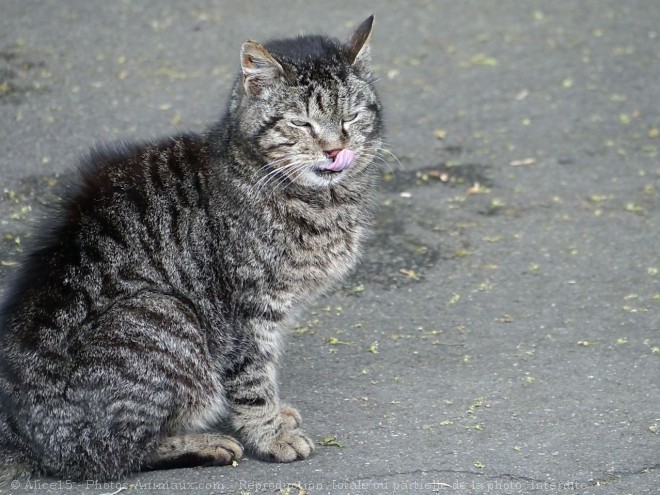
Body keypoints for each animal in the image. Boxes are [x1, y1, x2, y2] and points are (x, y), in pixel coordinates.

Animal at [0, 16, 382, 484]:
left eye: (351, 117)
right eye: (300, 123)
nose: (334, 149)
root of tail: (15, 434)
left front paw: (277, 416)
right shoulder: (248, 311)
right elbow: (254, 380)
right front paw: (271, 433)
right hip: (167, 315)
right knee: (109, 453)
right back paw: (206, 443)